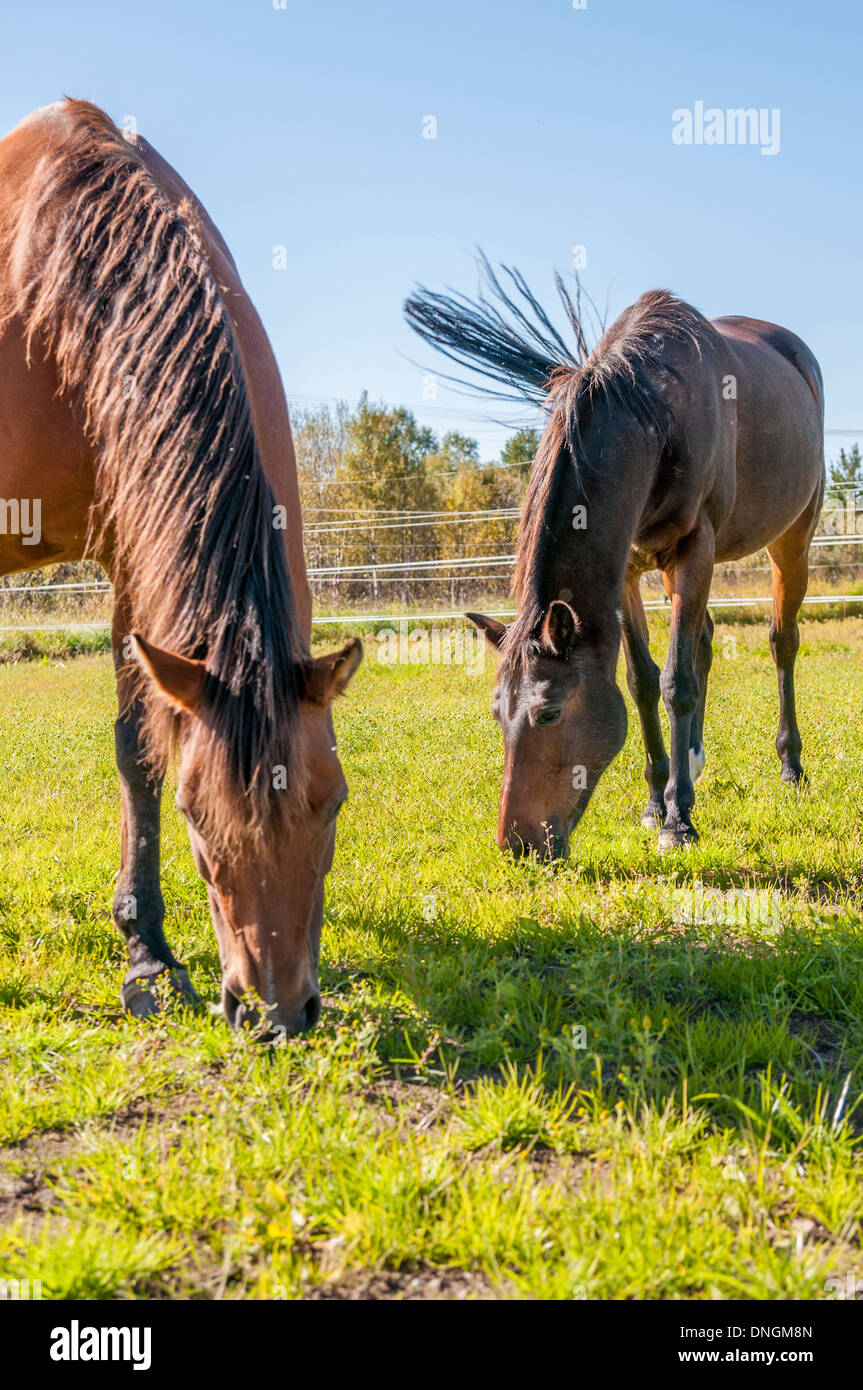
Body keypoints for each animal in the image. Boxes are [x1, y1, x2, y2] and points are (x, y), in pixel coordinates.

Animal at [0, 97, 361, 1034]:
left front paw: (148, 954)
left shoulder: (137, 566)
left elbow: (138, 749)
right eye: (200, 815)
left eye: (334, 800)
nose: (275, 1013)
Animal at [408, 255, 822, 850]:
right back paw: (693, 760)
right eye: (496, 714)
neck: (655, 417)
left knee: (781, 642)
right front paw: (657, 800)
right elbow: (642, 681)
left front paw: (678, 821)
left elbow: (676, 683)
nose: (518, 846)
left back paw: (790, 766)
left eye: (550, 714)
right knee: (704, 638)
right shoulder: (626, 571)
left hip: (792, 539)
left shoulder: (694, 549)